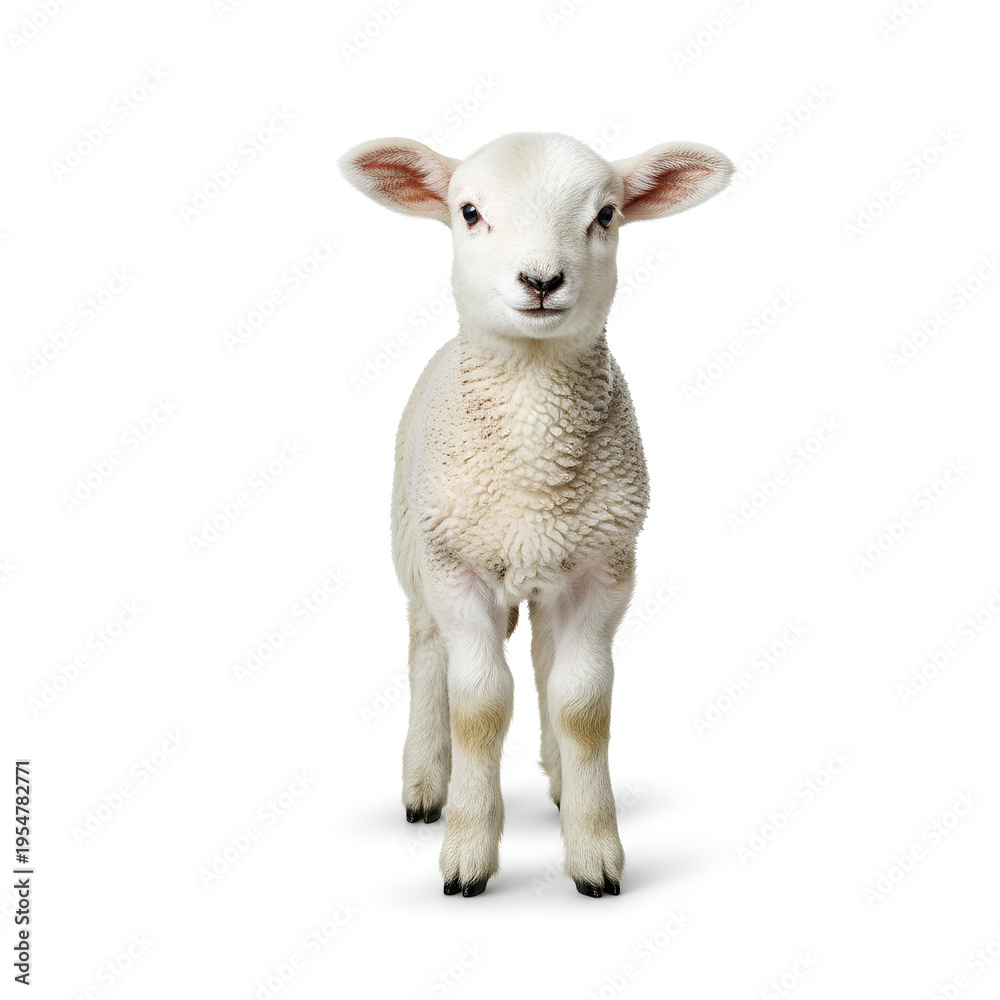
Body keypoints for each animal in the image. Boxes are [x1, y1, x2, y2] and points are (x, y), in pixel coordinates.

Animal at [339, 131, 733, 896]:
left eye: (606, 215)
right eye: (469, 211)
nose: (542, 281)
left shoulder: (604, 569)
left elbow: (582, 706)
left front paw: (594, 853)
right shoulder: (457, 570)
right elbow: (480, 705)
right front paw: (467, 855)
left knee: (549, 664)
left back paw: (554, 780)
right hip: (415, 545)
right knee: (426, 654)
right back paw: (425, 783)